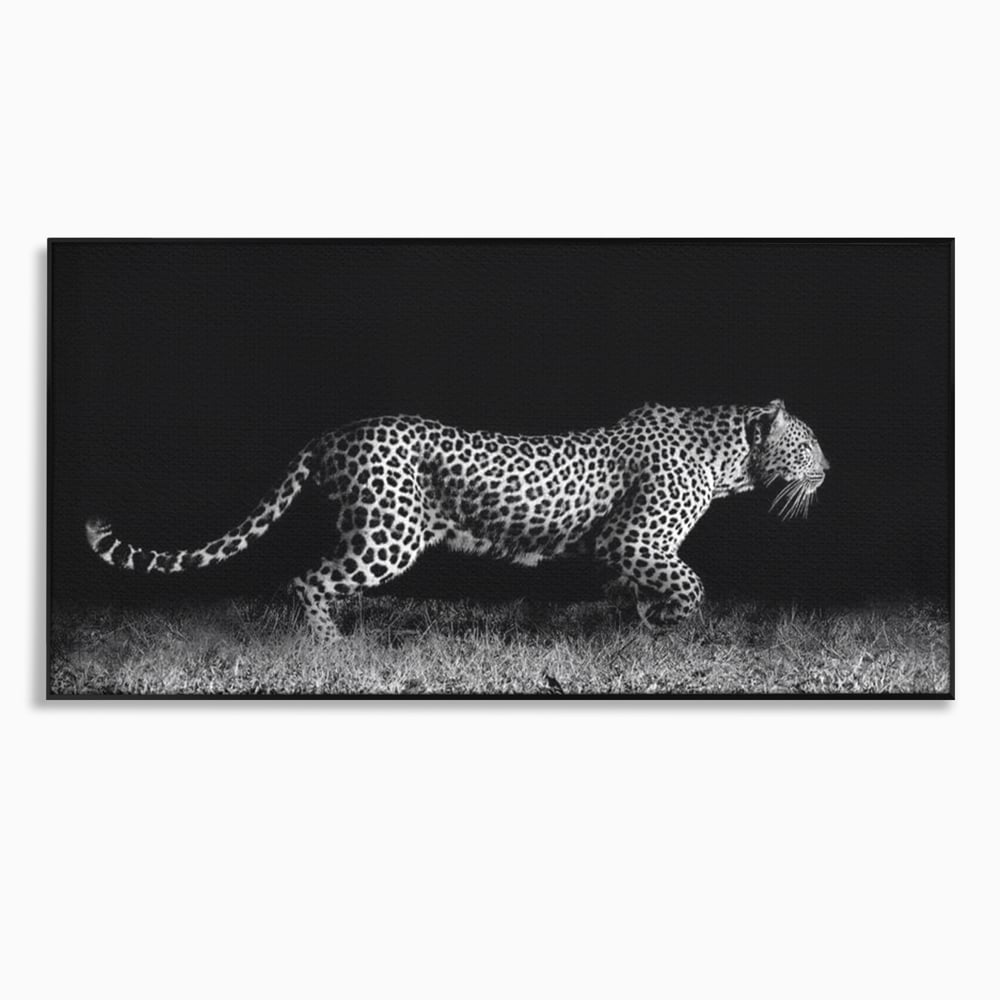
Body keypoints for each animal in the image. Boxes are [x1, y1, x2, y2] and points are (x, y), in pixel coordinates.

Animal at [86, 399, 829, 642]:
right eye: (811, 444)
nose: (831, 467)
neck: (729, 459)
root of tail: (333, 433)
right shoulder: (634, 538)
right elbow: (691, 584)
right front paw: (670, 624)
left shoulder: (621, 550)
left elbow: (636, 590)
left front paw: (640, 627)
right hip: (391, 532)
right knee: (307, 580)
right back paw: (333, 648)